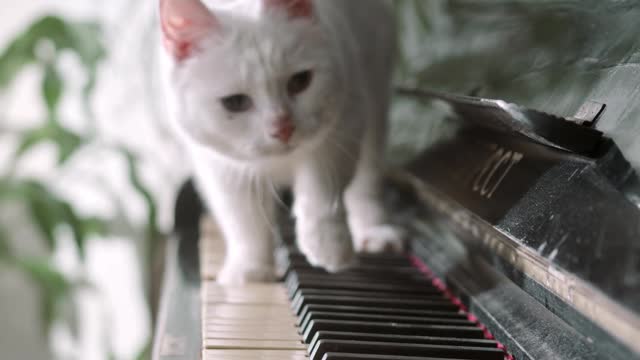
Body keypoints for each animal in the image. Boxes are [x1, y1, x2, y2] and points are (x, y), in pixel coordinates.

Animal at [158, 0, 402, 284]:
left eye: (300, 81)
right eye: (235, 102)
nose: (282, 128)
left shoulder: (343, 126)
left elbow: (322, 189)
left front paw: (329, 247)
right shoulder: (220, 165)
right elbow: (245, 219)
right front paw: (250, 269)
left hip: (375, 95)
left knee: (367, 179)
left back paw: (374, 232)